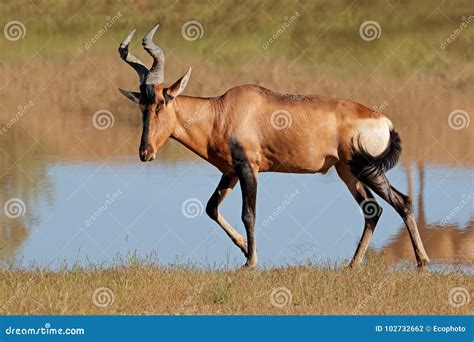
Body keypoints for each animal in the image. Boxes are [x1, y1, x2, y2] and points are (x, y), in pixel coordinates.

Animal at [117, 24, 430, 270]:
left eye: (161, 102)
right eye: (143, 106)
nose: (145, 153)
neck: (222, 110)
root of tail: (384, 121)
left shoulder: (249, 169)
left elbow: (249, 214)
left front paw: (250, 262)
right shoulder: (231, 171)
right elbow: (211, 208)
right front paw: (245, 249)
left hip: (365, 168)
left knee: (401, 202)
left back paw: (422, 261)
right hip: (347, 170)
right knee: (372, 210)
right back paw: (353, 264)